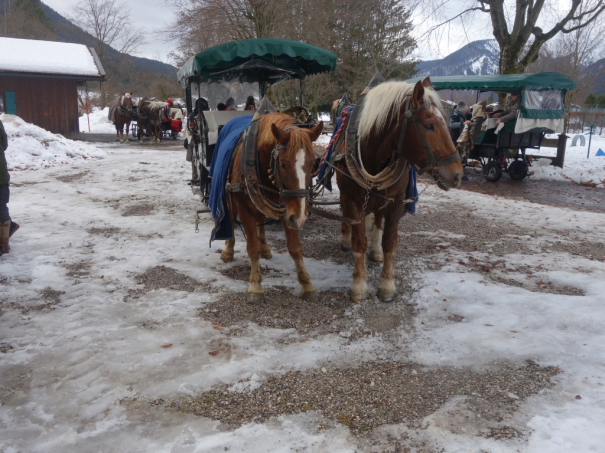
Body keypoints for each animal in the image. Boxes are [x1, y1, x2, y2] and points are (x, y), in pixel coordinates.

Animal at [219, 113, 324, 304]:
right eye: (282, 164)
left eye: (313, 163)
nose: (301, 218)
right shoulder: (244, 208)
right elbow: (252, 247)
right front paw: (255, 286)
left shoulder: (288, 210)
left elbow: (295, 247)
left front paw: (306, 284)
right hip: (229, 195)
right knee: (230, 216)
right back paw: (228, 250)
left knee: (261, 218)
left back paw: (265, 247)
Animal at [336, 77, 462, 300]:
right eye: (429, 125)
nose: (457, 174)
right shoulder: (352, 200)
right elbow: (358, 242)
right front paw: (359, 285)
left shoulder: (395, 203)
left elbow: (390, 242)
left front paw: (387, 284)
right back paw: (345, 238)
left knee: (378, 218)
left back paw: (375, 250)